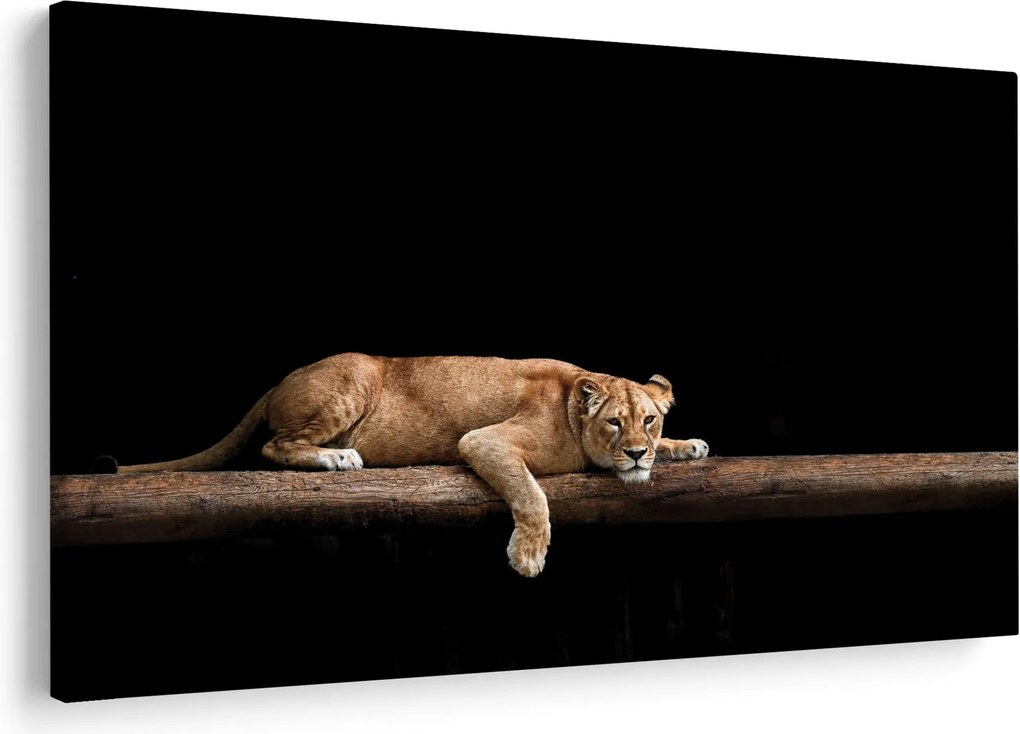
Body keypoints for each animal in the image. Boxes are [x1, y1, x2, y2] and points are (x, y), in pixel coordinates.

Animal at [114, 354, 709, 576]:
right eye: (614, 424)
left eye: (650, 421)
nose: (636, 451)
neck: (572, 403)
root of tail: (281, 380)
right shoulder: (484, 442)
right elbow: (531, 493)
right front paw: (528, 555)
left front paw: (687, 445)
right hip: (351, 380)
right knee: (273, 448)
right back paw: (337, 455)